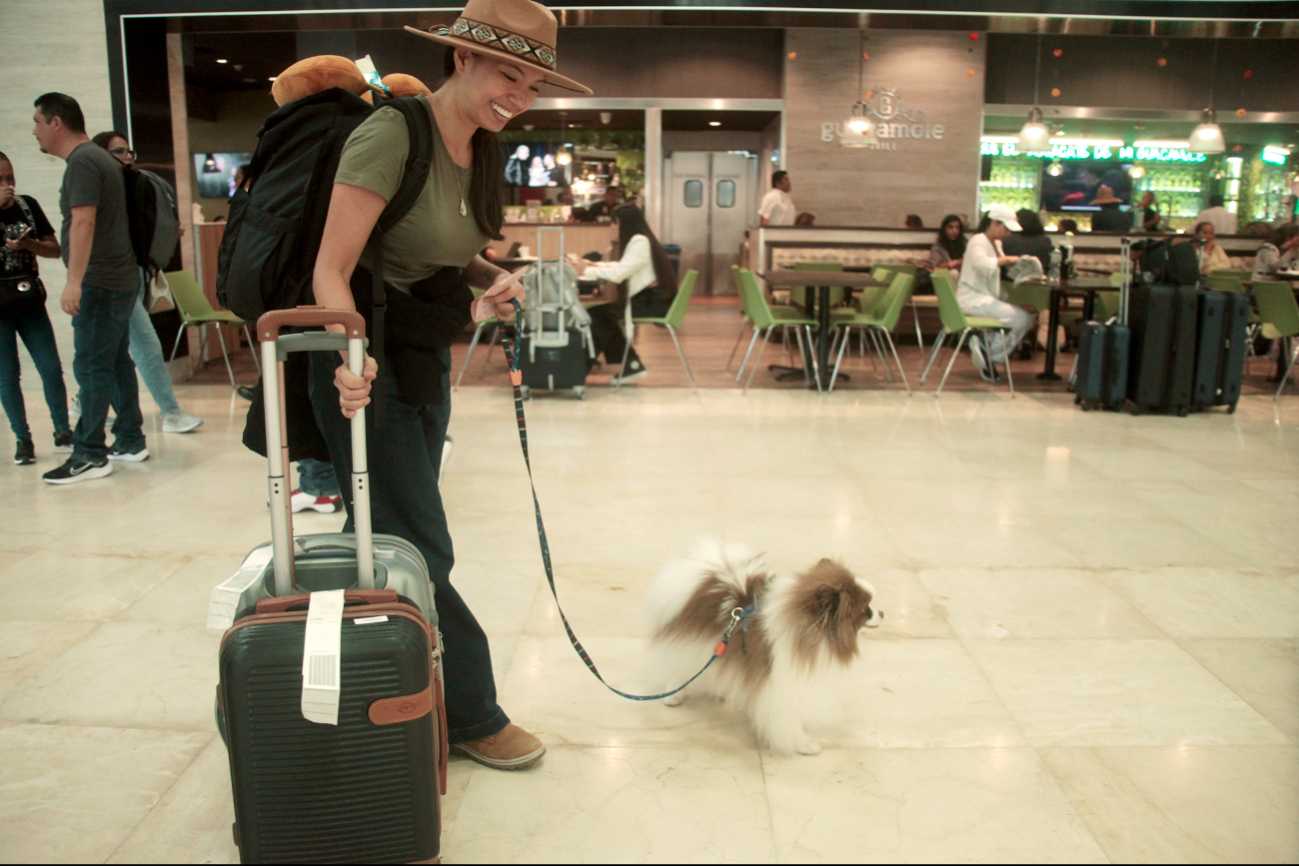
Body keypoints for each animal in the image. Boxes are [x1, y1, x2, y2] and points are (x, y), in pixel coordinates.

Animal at [641, 537, 883, 753]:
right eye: (865, 610)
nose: (882, 613)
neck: (814, 636)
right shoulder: (781, 688)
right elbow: (789, 721)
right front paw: (803, 743)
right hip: (687, 647)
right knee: (677, 670)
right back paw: (673, 695)